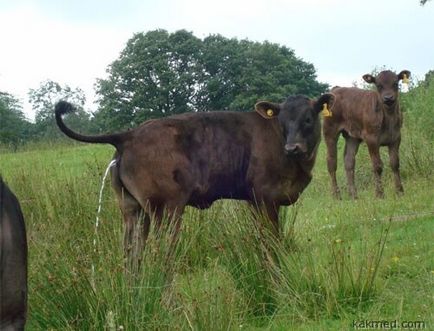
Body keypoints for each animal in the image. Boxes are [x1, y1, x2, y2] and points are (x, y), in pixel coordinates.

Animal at [56, 93, 334, 252]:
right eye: (282, 121)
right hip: (166, 208)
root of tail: (129, 135)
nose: (293, 147)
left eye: (308, 118)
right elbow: (272, 242)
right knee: (160, 255)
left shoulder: (257, 201)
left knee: (131, 255)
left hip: (132, 208)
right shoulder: (264, 198)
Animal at [324, 69, 412, 198]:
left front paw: (400, 192)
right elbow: (377, 166)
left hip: (352, 136)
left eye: (396, 83)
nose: (388, 98)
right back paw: (336, 195)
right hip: (330, 132)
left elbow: (395, 164)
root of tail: (336, 88)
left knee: (349, 161)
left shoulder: (396, 138)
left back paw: (353, 195)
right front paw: (379, 194)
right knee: (331, 162)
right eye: (379, 85)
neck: (388, 117)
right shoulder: (371, 139)